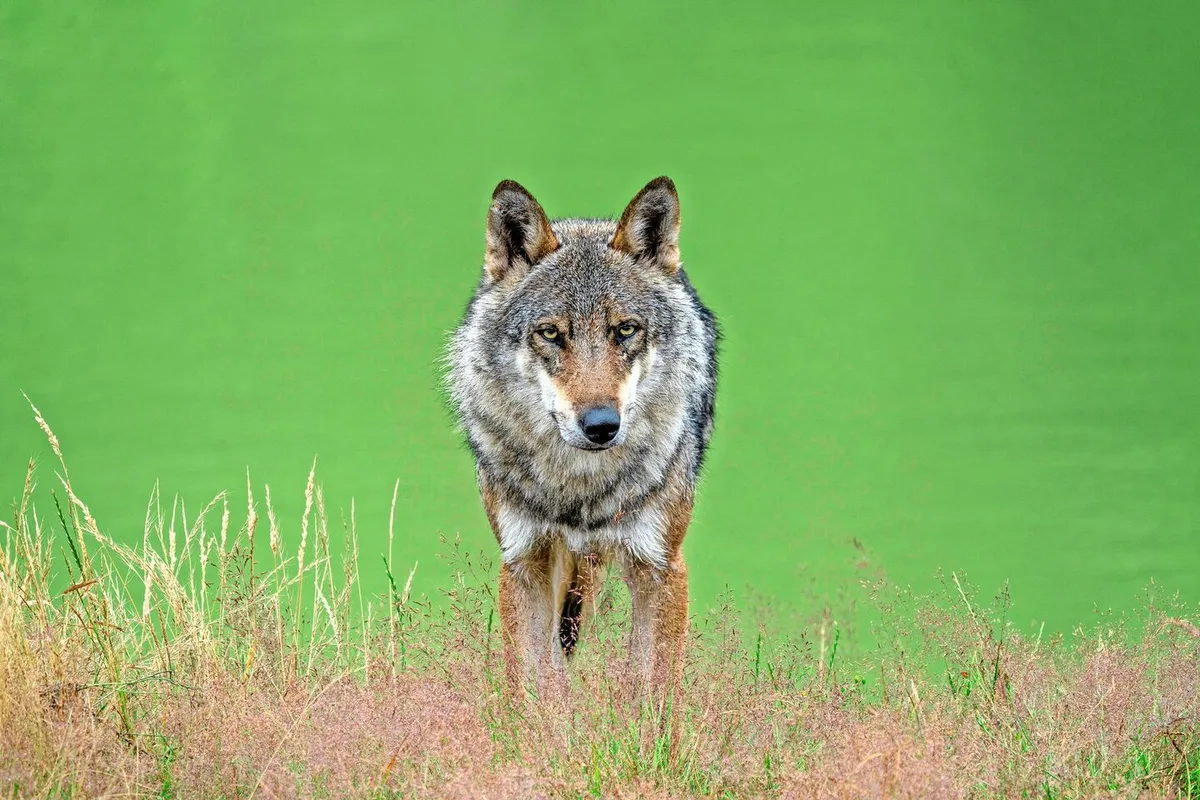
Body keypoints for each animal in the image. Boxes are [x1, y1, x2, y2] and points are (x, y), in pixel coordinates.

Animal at [447, 177, 718, 702]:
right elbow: (536, 690)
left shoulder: (661, 566)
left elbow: (653, 693)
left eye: (625, 330)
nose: (600, 425)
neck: (581, 490)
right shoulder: (523, 561)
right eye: (551, 333)